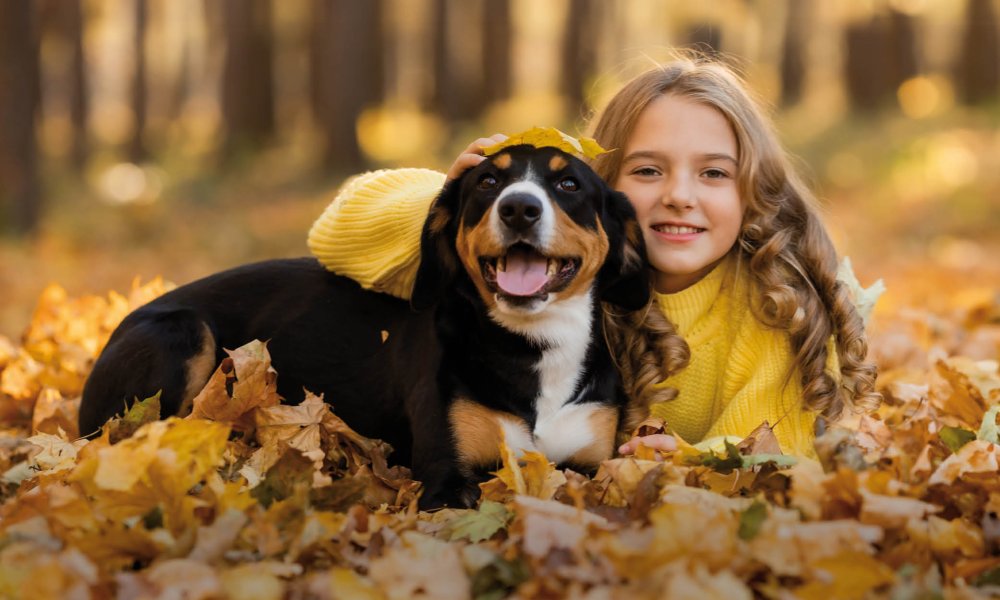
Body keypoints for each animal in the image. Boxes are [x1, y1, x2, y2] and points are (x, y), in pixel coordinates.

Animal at [78, 144, 648, 506]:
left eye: (568, 183)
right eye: (488, 181)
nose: (519, 207)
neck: (533, 344)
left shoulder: (592, 463)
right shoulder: (446, 477)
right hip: (183, 333)